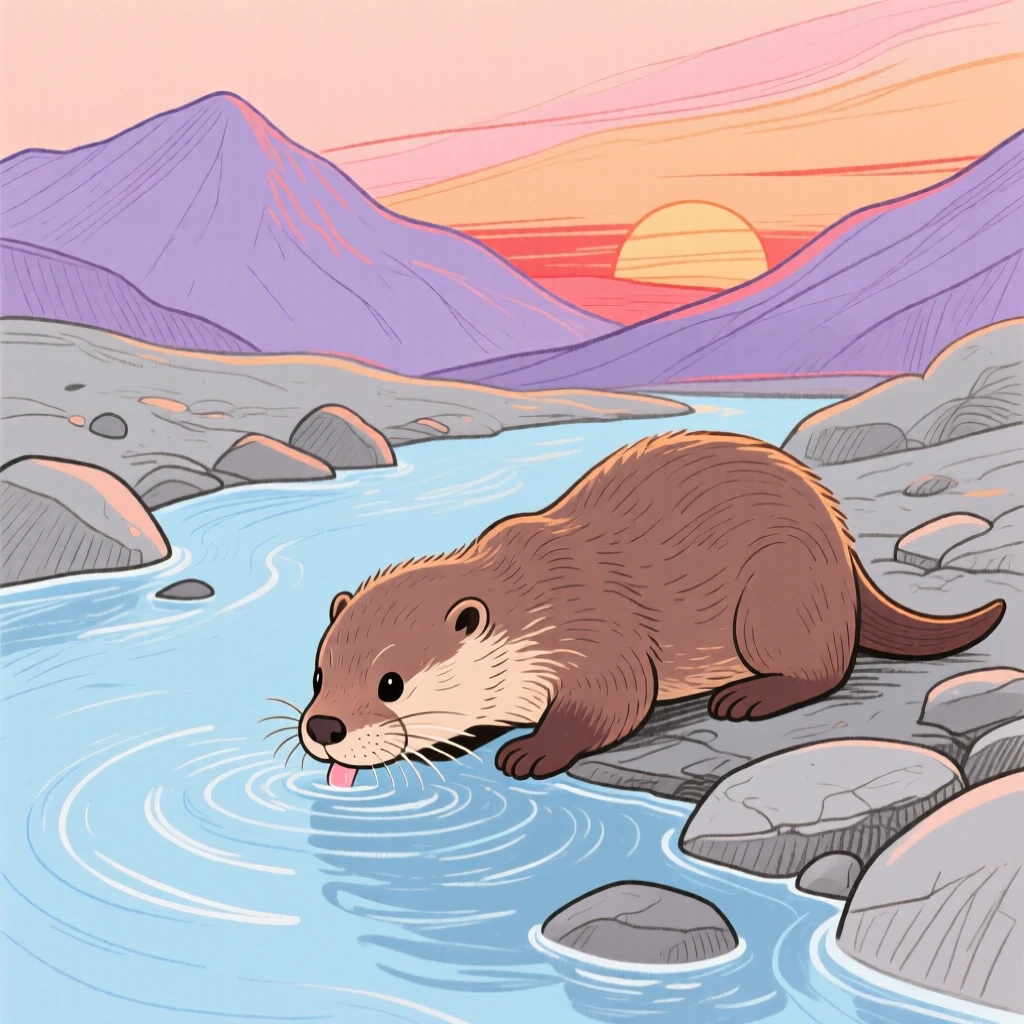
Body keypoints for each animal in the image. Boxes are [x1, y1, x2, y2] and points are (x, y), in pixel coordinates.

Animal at [298, 431, 1005, 782]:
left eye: (390, 684)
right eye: (319, 675)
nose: (324, 728)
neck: (532, 616)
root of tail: (842, 543)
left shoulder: (595, 636)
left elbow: (617, 702)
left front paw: (534, 752)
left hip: (778, 595)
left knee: (826, 665)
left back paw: (751, 697)